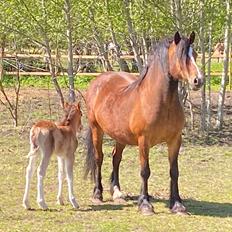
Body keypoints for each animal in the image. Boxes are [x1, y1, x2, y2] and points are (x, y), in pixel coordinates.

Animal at [84, 31, 203, 215]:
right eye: (180, 56)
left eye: (195, 54)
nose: (198, 80)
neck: (160, 102)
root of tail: (99, 81)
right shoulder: (143, 141)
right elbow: (145, 171)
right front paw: (145, 204)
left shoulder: (175, 140)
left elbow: (174, 171)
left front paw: (177, 204)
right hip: (97, 129)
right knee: (99, 158)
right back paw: (97, 194)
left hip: (120, 136)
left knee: (116, 158)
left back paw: (117, 192)